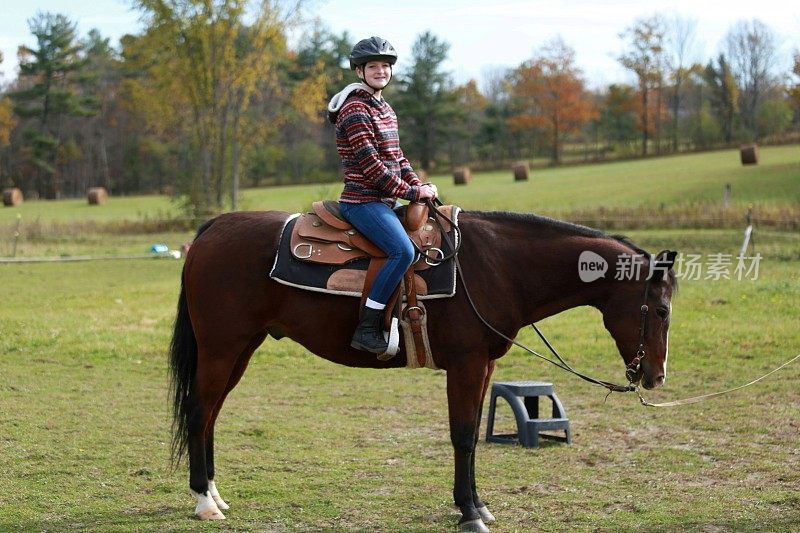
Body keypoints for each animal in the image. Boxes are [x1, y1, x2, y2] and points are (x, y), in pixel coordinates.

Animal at [167, 207, 676, 528]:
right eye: (662, 309)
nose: (655, 376)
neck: (497, 266)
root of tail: (212, 229)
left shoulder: (485, 367)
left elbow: (471, 435)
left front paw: (479, 505)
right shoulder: (466, 365)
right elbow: (463, 435)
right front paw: (469, 513)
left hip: (240, 350)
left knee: (210, 416)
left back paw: (214, 494)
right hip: (221, 347)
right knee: (198, 411)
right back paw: (203, 503)